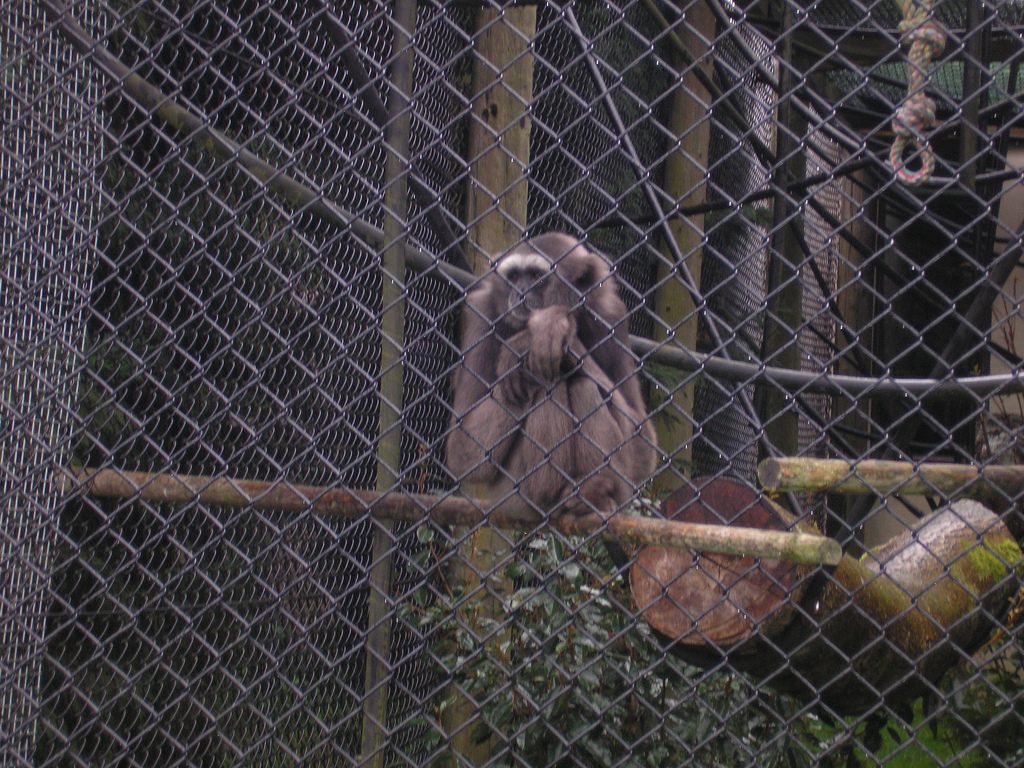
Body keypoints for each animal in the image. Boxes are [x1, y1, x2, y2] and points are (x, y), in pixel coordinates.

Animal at [446, 232, 657, 554]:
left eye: (535, 276)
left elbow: (644, 446)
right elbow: (464, 450)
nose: (519, 293)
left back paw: (589, 495)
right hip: (512, 495)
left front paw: (545, 329)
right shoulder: (482, 313)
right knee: (549, 383)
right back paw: (551, 495)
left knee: (582, 385)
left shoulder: (611, 314)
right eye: (514, 277)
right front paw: (528, 345)